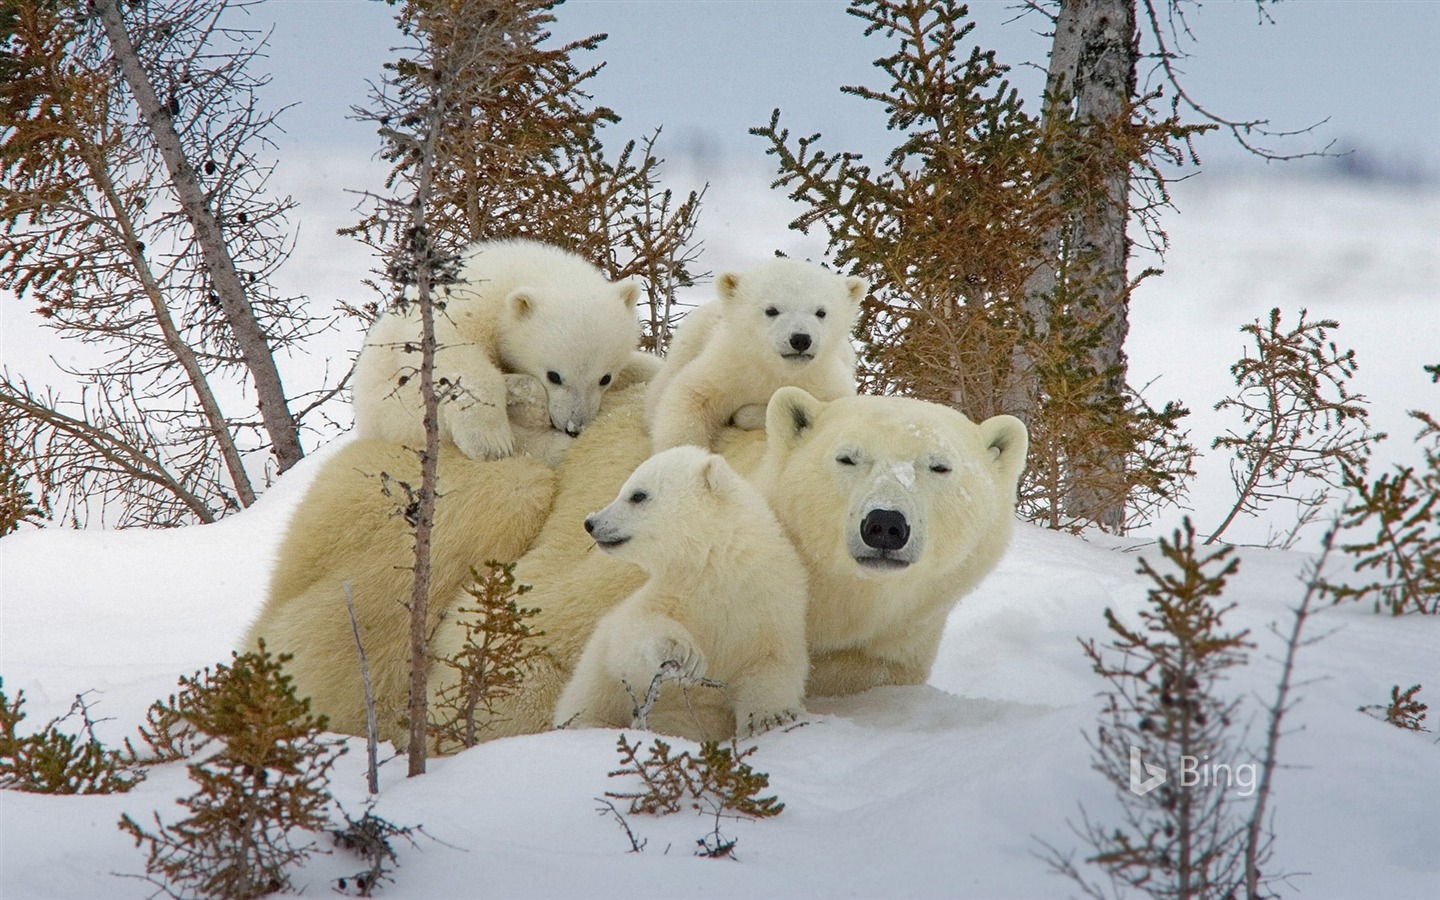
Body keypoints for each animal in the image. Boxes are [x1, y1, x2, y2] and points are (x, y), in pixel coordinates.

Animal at [354, 234, 653, 460]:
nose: (573, 427)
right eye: (554, 376)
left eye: (605, 378)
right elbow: (453, 350)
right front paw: (491, 440)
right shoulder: (461, 309)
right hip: (391, 410)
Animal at [550, 446, 812, 737]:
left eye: (637, 495)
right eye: (624, 488)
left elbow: (772, 661)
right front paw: (684, 652)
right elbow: (628, 639)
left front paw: (770, 718)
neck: (718, 567)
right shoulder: (674, 594)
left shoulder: (771, 601)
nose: (591, 522)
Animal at [650, 259, 864, 455]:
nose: (800, 339)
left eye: (821, 312)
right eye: (771, 310)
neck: (774, 369)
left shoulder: (825, 382)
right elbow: (690, 396)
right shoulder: (728, 368)